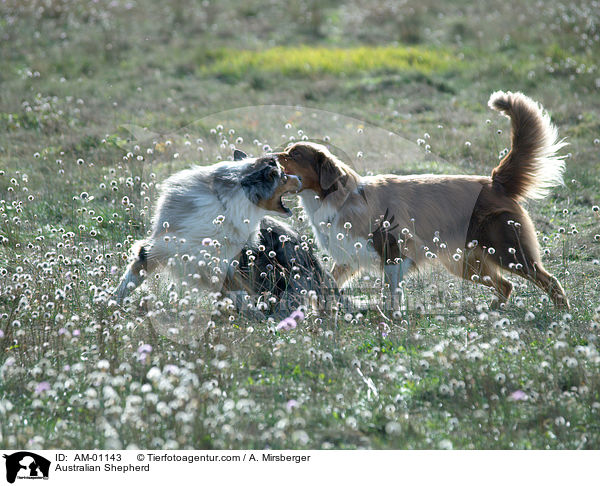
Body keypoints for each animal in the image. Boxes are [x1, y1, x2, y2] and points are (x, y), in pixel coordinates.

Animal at [274, 92, 568, 308]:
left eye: (294, 154)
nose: (270, 157)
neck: (337, 198)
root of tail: (494, 181)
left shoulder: (393, 253)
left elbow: (391, 295)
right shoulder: (348, 256)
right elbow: (326, 284)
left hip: (508, 251)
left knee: (549, 281)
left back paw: (562, 315)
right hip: (464, 262)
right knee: (506, 286)